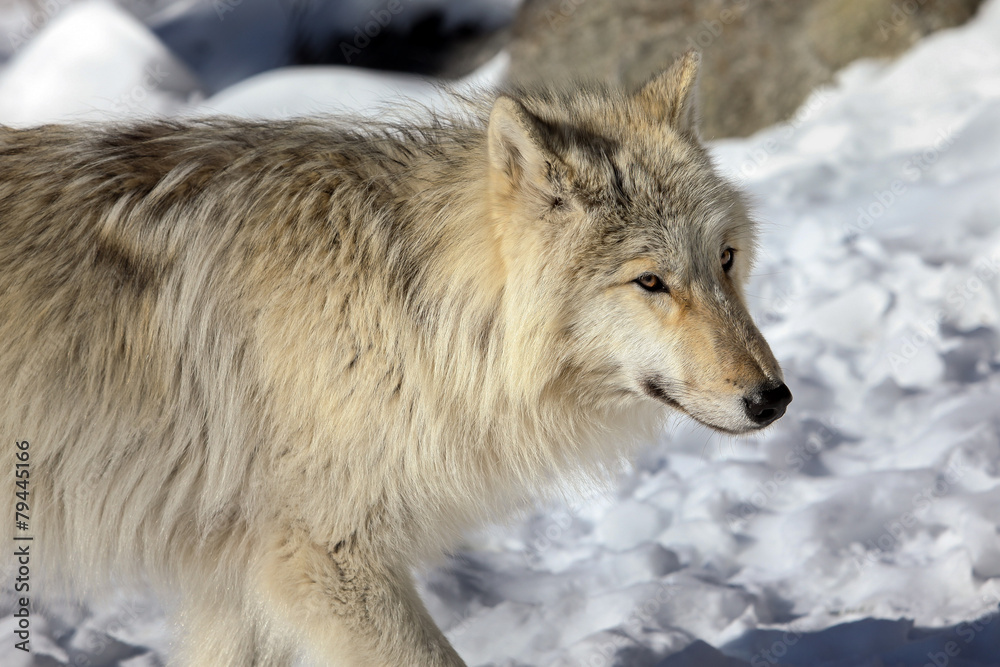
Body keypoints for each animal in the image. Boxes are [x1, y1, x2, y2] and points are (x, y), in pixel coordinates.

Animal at [0, 53, 788, 667]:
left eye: (725, 260)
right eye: (650, 281)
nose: (772, 398)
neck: (416, 315)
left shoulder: (245, 574)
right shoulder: (323, 557)